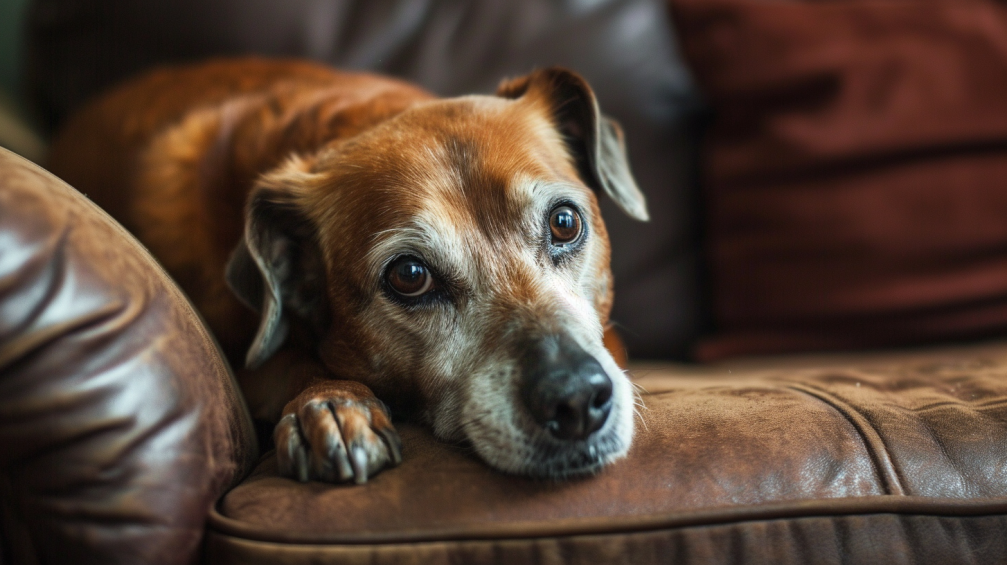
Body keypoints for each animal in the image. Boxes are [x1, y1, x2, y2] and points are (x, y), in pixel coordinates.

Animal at [47, 57, 648, 483]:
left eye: (565, 222)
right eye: (410, 276)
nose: (576, 399)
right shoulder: (251, 361)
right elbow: (288, 360)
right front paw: (333, 403)